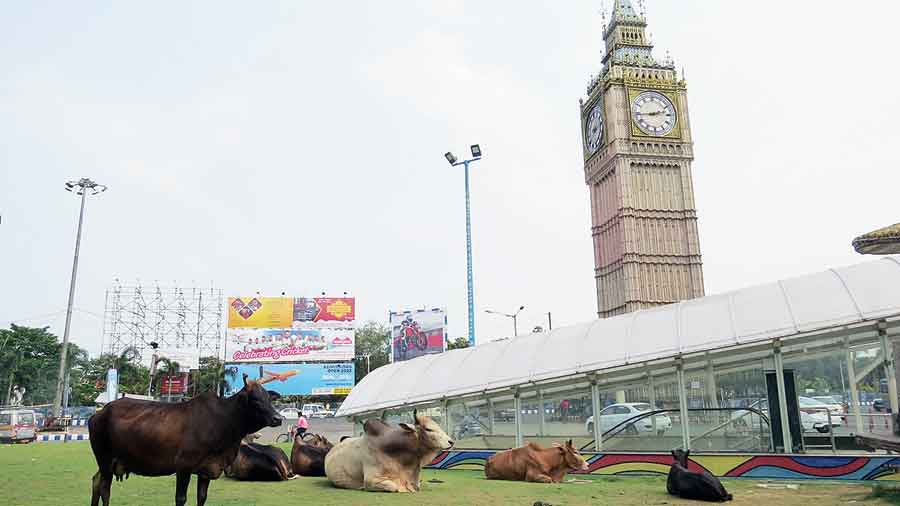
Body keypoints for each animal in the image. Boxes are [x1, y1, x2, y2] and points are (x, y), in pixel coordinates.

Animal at [88, 374, 284, 506]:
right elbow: (180, 498)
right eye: (255, 400)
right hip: (105, 459)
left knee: (96, 481)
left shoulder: (206, 470)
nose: (278, 419)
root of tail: (100, 412)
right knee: (105, 487)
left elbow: (202, 498)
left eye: (269, 398)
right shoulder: (183, 466)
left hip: (109, 462)